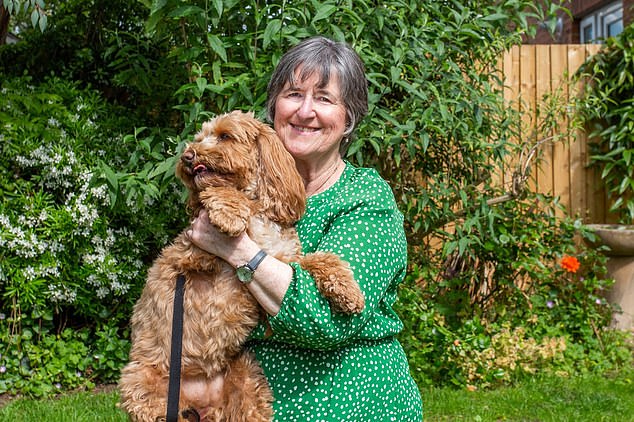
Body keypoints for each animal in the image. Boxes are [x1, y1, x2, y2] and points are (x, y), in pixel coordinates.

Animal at [117, 110, 366, 420]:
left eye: (225, 136)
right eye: (200, 138)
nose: (188, 155)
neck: (258, 214)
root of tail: (199, 395)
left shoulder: (285, 260)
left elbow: (321, 259)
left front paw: (348, 290)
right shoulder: (192, 255)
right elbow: (222, 192)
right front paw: (231, 214)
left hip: (246, 377)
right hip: (141, 386)